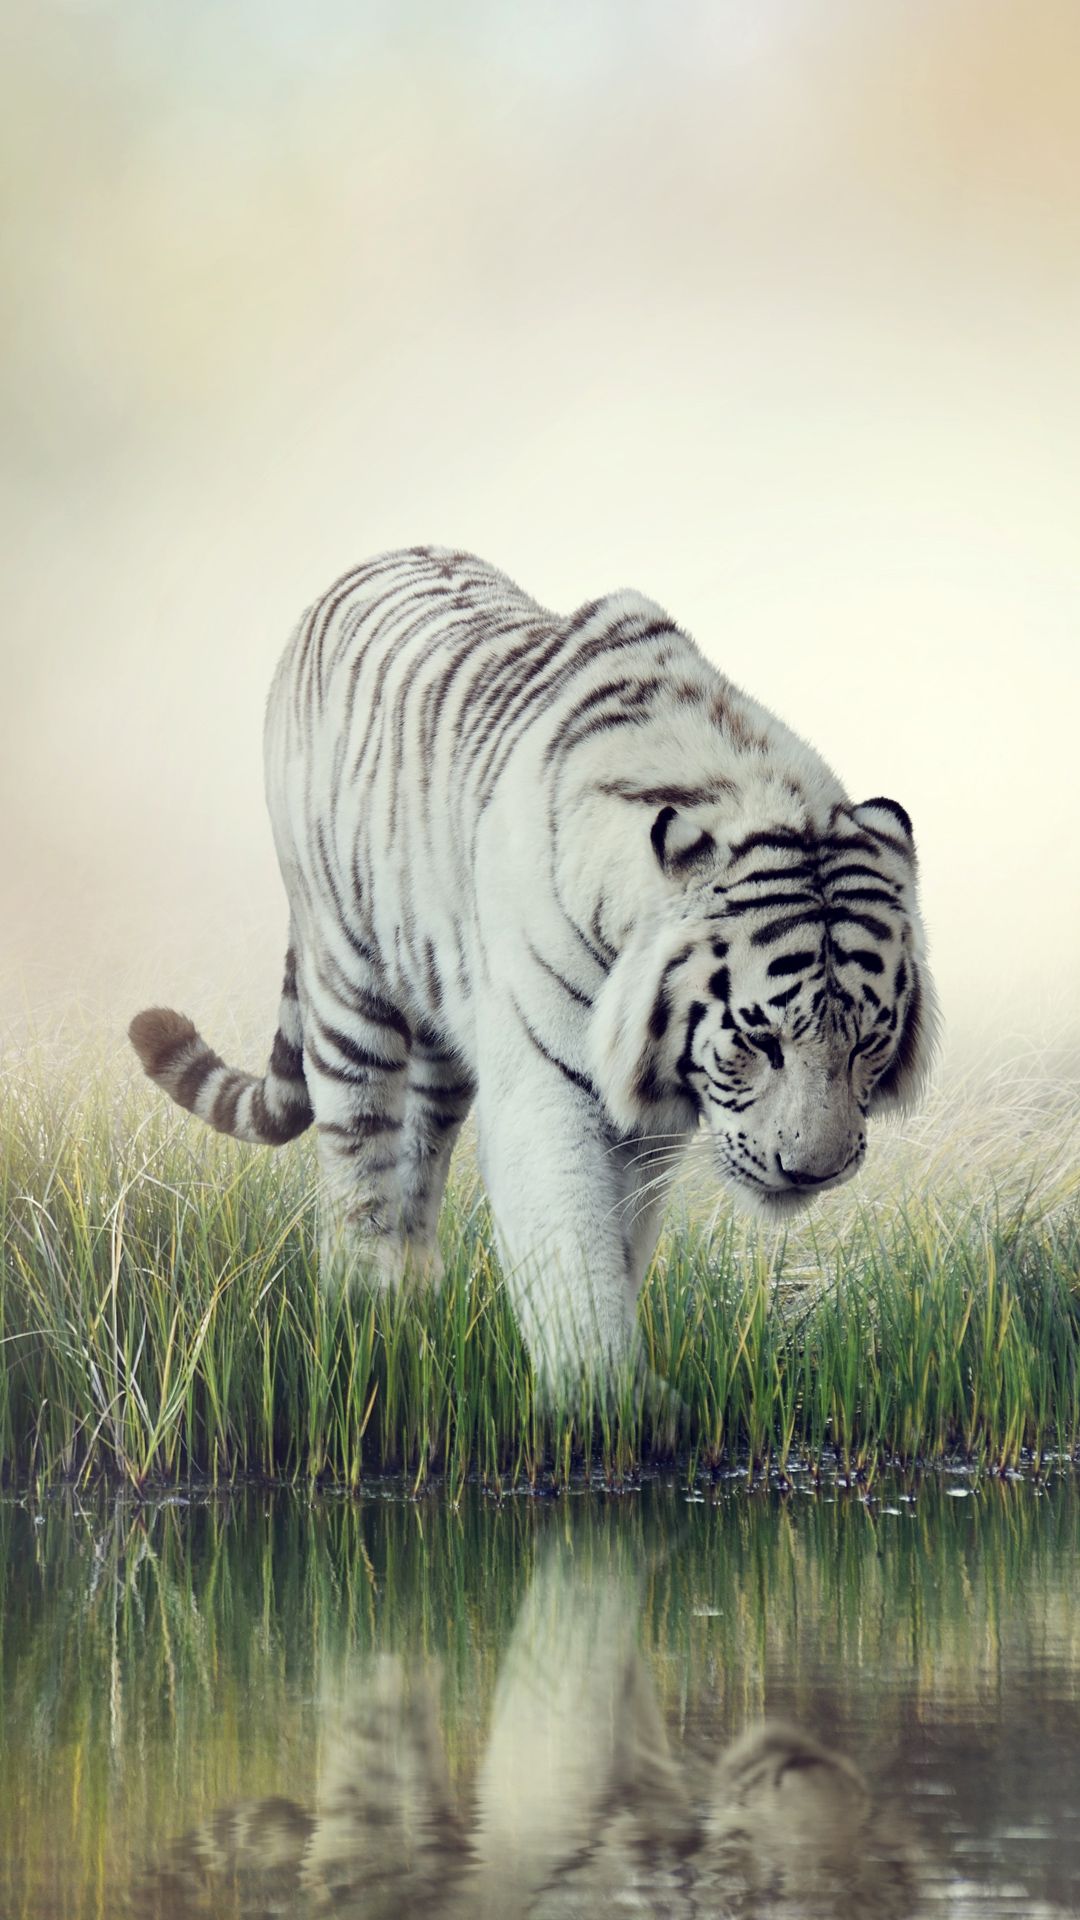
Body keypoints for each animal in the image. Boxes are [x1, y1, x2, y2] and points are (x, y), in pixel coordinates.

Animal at [129, 545, 938, 1378]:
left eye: (869, 1044)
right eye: (759, 1040)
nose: (815, 1172)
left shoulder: (648, 1121)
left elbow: (618, 1242)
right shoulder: (547, 1088)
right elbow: (573, 1250)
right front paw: (604, 1393)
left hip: (445, 1030)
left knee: (420, 1157)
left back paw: (415, 1298)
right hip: (347, 985)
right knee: (359, 1161)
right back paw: (363, 1307)